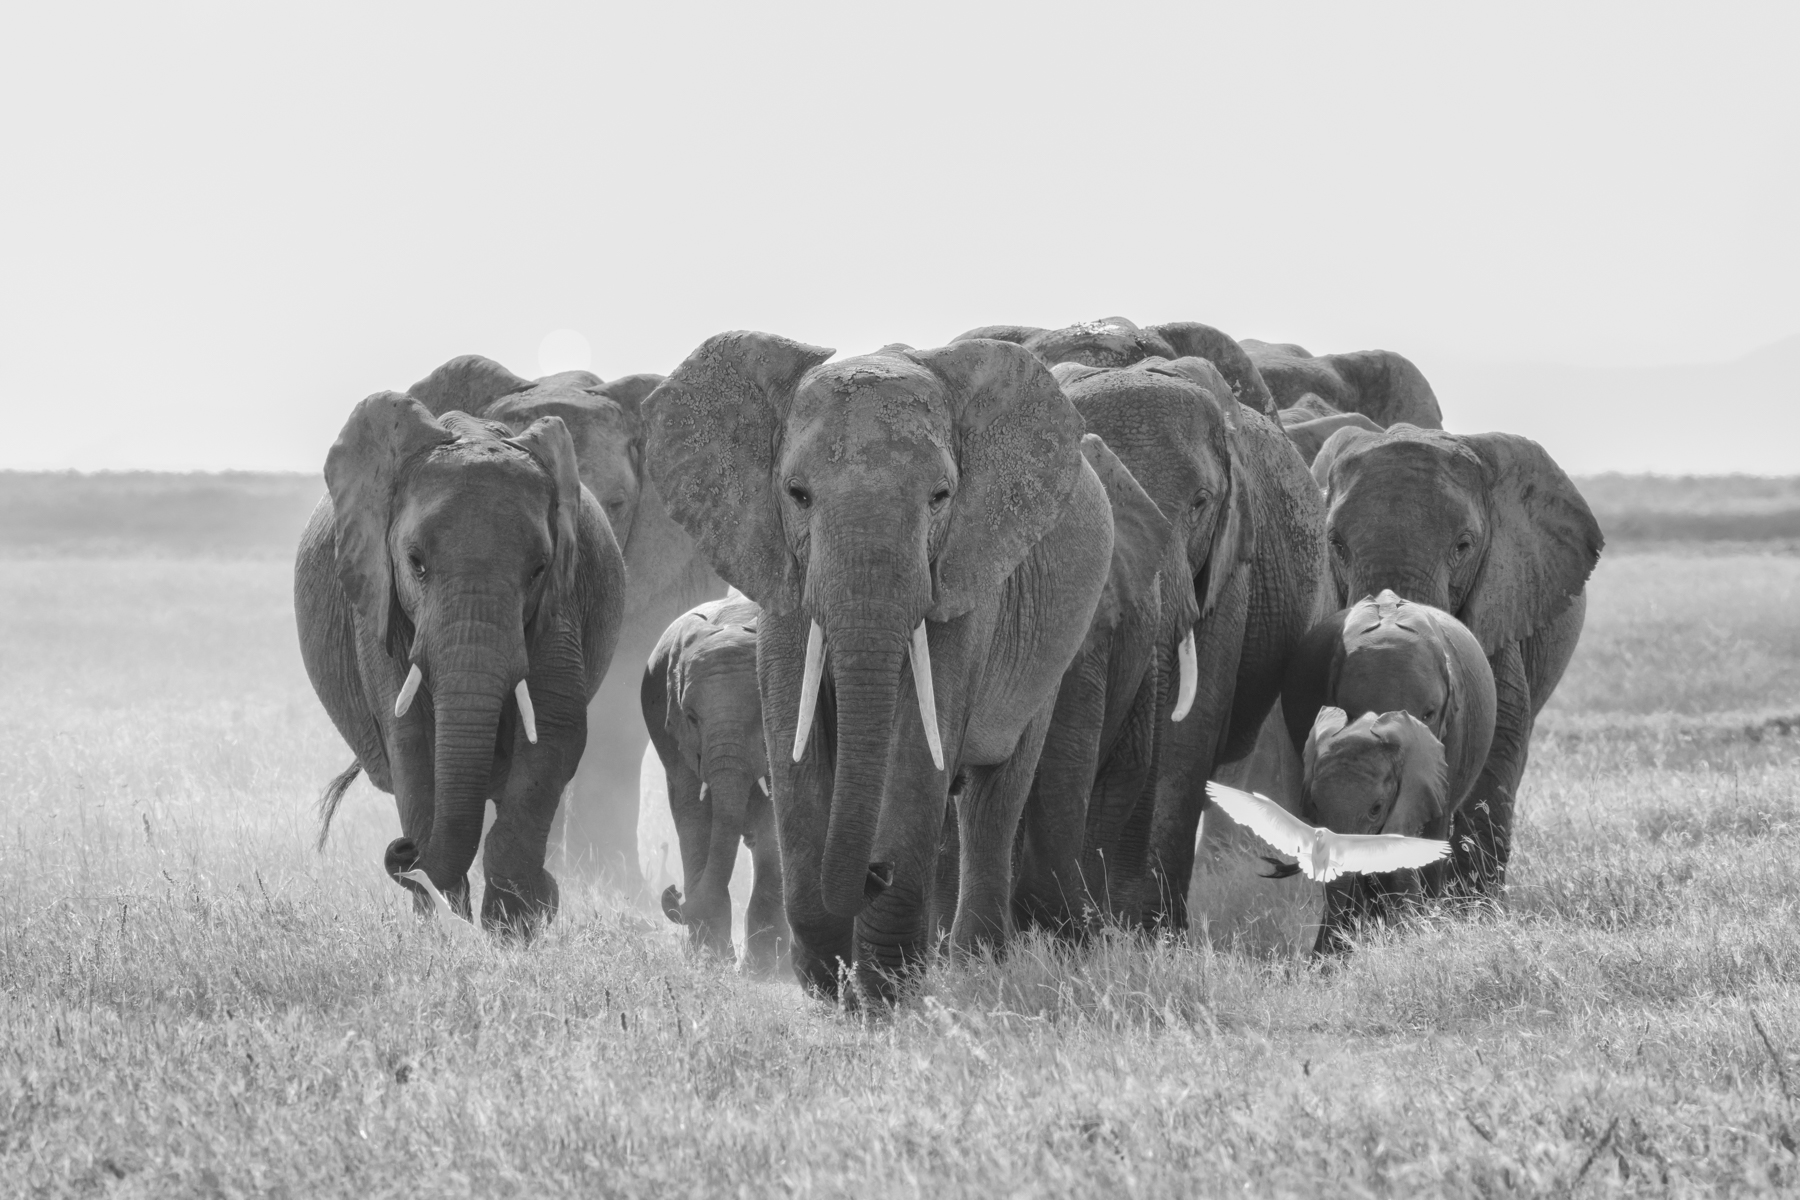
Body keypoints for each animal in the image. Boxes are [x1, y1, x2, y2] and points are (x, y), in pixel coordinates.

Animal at [295, 394, 625, 929]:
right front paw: (447, 924)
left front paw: (514, 927)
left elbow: (555, 730)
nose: (403, 851)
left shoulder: (562, 601)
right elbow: (410, 738)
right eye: (415, 563)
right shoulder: (378, 606)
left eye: (539, 569)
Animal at [642, 590, 787, 971]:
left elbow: (773, 821)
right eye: (692, 717)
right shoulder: (672, 733)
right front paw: (709, 959)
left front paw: (762, 970)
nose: (673, 893)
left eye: (761, 714)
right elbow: (693, 815)